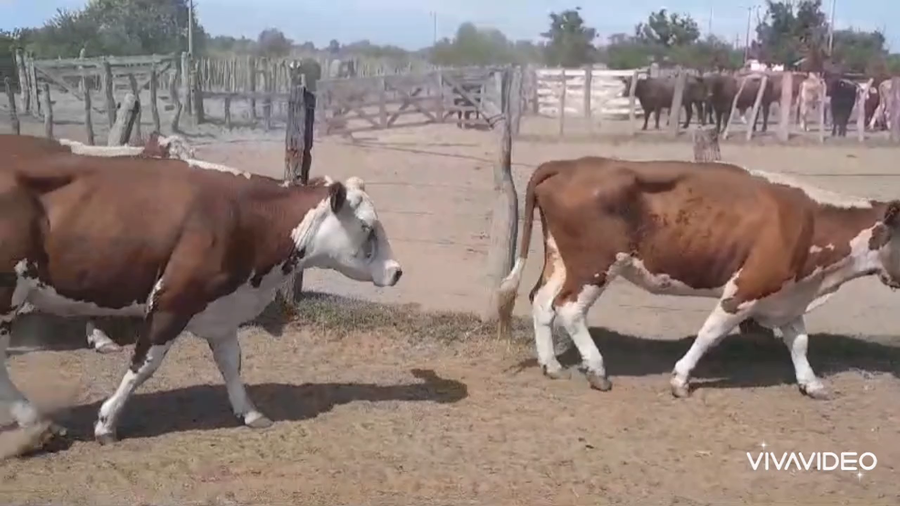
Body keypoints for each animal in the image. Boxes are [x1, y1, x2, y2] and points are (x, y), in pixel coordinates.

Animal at [495, 156, 900, 400]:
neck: (810, 221)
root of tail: (570, 164)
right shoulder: (745, 288)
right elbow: (710, 333)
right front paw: (680, 379)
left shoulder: (787, 294)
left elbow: (799, 341)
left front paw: (811, 383)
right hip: (594, 265)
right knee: (569, 308)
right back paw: (596, 369)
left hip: (562, 259)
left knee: (542, 302)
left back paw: (552, 365)